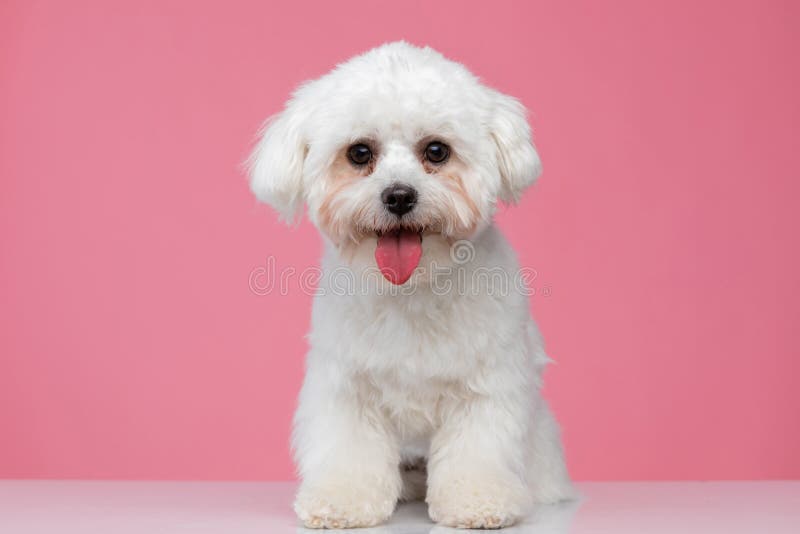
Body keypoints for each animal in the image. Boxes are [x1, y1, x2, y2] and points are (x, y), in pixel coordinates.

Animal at [247, 42, 572, 532]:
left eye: (436, 150)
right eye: (359, 152)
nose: (399, 195)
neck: (411, 289)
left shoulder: (484, 387)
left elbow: (477, 449)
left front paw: (477, 501)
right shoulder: (348, 387)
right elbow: (350, 449)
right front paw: (343, 500)